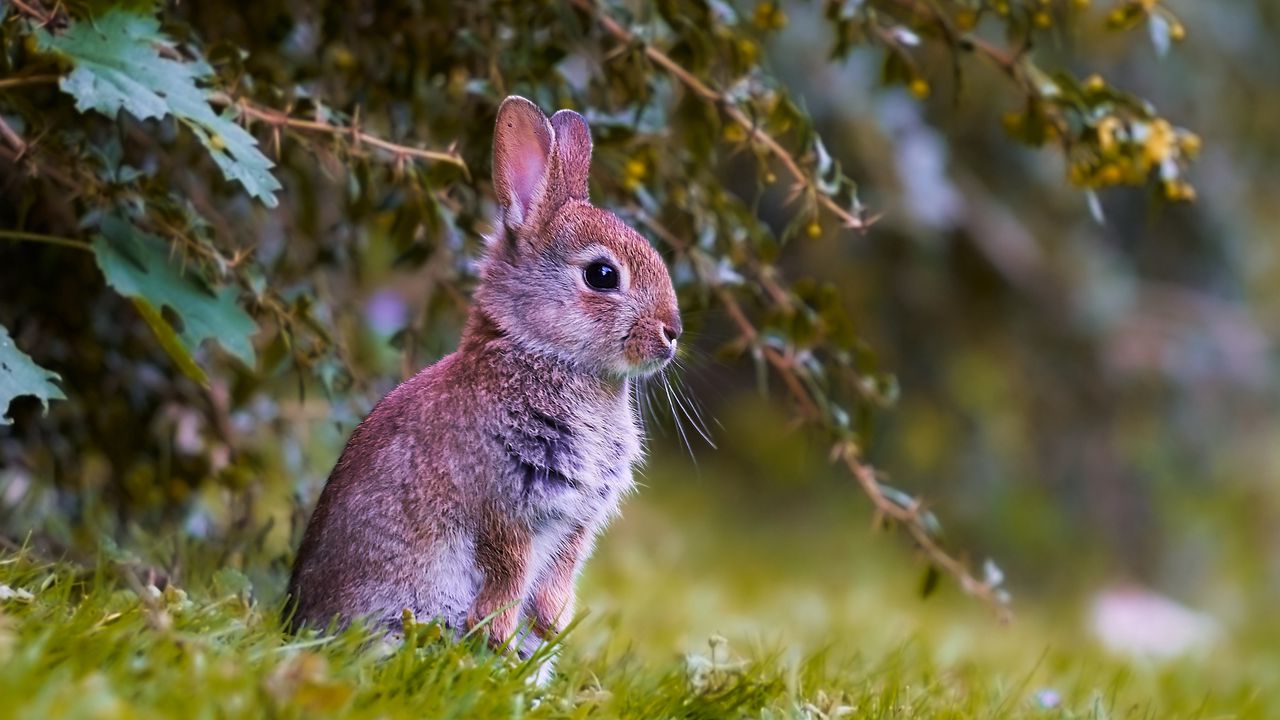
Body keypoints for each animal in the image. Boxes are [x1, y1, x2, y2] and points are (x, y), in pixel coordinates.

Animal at [280, 95, 680, 671]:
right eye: (602, 276)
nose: (673, 331)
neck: (545, 354)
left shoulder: (574, 526)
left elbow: (556, 580)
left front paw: (549, 629)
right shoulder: (503, 508)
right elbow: (507, 575)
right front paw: (501, 636)